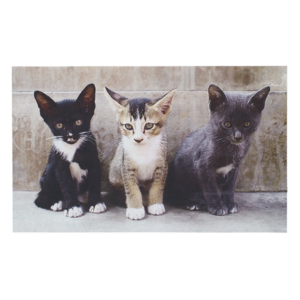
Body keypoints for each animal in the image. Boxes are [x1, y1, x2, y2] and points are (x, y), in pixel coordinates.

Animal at [33, 83, 106, 217]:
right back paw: (56, 202)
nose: (70, 135)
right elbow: (66, 185)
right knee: (39, 198)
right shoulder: (60, 165)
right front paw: (72, 207)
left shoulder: (94, 161)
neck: (72, 148)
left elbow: (95, 180)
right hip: (47, 175)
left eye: (78, 122)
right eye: (59, 125)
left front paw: (96, 203)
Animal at [104, 86, 177, 220]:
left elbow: (158, 186)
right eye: (128, 126)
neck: (143, 149)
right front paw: (135, 209)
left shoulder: (162, 165)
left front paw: (155, 205)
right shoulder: (126, 165)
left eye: (149, 125)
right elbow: (132, 189)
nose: (138, 139)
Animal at [168, 84, 270, 216]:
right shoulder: (202, 165)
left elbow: (230, 187)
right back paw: (193, 203)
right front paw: (217, 206)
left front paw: (229, 204)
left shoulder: (235, 167)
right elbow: (211, 188)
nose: (238, 137)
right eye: (227, 124)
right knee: (175, 196)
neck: (230, 148)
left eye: (247, 124)